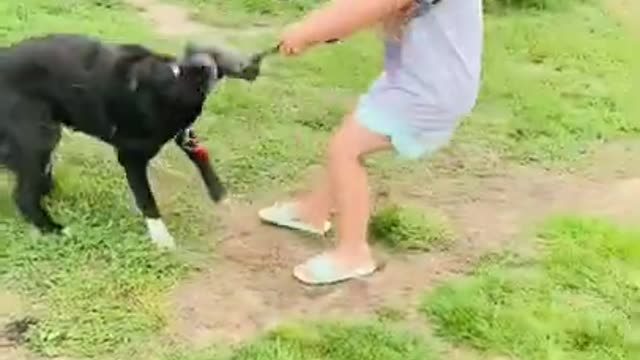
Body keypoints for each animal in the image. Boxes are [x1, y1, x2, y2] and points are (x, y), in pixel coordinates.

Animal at [0, 33, 264, 248]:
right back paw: (54, 229)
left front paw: (221, 196)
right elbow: (147, 199)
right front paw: (161, 238)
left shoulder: (184, 135)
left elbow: (201, 158)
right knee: (23, 196)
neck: (175, 81)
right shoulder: (132, 156)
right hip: (40, 137)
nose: (253, 63)